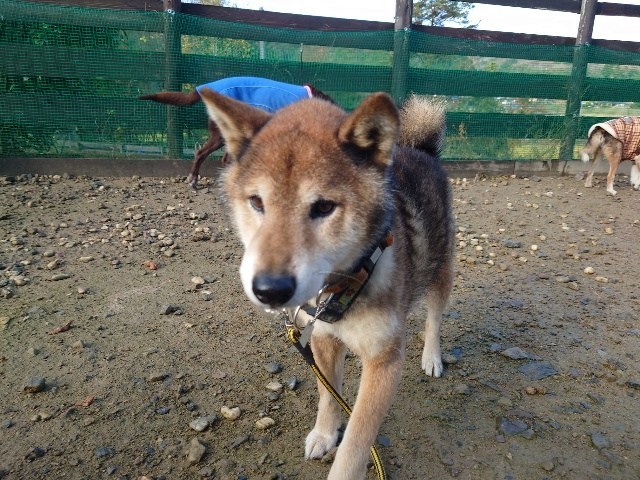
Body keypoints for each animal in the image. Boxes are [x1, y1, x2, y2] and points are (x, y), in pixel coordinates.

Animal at [200, 87, 456, 480]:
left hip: (441, 271)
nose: (269, 289)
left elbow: (357, 441)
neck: (345, 284)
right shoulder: (320, 337)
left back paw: (432, 356)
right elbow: (328, 395)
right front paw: (323, 434)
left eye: (323, 207)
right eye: (257, 202)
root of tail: (419, 149)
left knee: (434, 318)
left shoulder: (383, 362)